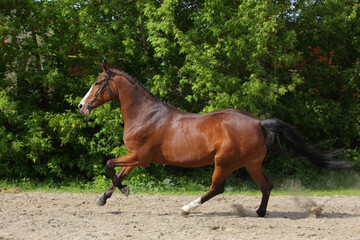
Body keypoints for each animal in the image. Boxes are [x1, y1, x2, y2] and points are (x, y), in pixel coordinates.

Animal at [77, 61, 350, 217]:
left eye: (98, 82)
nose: (81, 106)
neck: (146, 115)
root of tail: (258, 122)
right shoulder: (137, 158)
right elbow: (118, 173)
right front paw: (104, 198)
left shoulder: (141, 157)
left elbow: (110, 165)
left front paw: (123, 191)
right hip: (251, 163)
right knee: (266, 185)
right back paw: (260, 212)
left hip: (224, 162)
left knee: (217, 188)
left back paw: (187, 208)